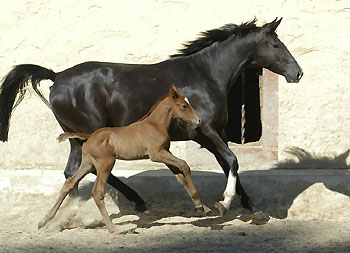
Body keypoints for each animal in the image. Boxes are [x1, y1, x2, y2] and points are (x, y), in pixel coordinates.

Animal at [0, 17, 300, 215]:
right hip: (91, 133)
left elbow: (228, 164)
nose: (298, 73)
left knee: (73, 171)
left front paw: (253, 207)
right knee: (90, 169)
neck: (205, 75)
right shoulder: (206, 131)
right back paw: (134, 201)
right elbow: (232, 160)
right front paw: (224, 202)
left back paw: (75, 213)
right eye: (275, 45)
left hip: (77, 137)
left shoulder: (216, 134)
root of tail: (57, 76)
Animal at [39, 84, 212, 233]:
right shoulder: (156, 154)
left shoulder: (164, 152)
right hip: (106, 164)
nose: (198, 121)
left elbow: (180, 176)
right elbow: (185, 165)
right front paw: (200, 205)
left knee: (69, 183)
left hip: (88, 164)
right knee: (97, 192)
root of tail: (89, 136)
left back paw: (44, 221)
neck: (155, 124)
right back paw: (114, 229)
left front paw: (202, 207)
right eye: (184, 106)